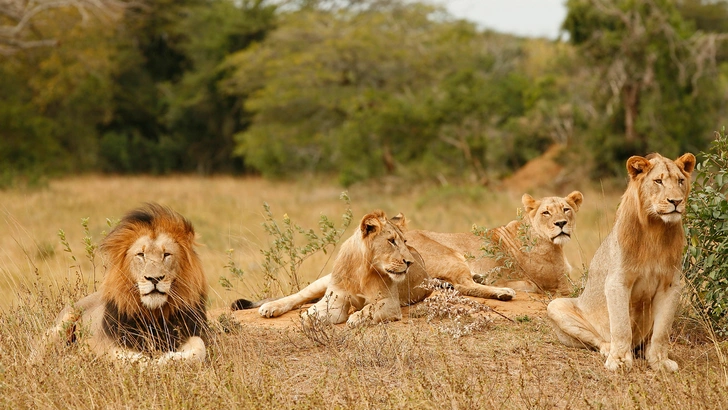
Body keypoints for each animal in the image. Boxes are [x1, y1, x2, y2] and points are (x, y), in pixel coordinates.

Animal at [35, 203, 209, 364]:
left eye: (166, 254)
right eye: (141, 254)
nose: (154, 279)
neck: (154, 314)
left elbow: (199, 348)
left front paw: (167, 359)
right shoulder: (110, 343)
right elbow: (129, 359)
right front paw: (154, 362)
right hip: (61, 326)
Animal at [232, 210, 432, 326]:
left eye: (405, 241)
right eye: (391, 241)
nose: (409, 262)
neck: (361, 270)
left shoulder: (390, 303)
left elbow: (370, 308)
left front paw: (357, 317)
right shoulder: (336, 300)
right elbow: (315, 311)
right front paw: (309, 317)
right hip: (323, 281)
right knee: (298, 297)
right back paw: (271, 307)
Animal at [400, 191, 584, 296]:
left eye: (566, 209)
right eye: (546, 213)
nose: (561, 223)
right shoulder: (561, 285)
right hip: (449, 255)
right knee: (463, 285)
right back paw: (503, 292)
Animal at [548, 153, 696, 372]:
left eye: (680, 181)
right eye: (658, 181)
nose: (676, 201)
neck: (656, 230)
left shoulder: (671, 285)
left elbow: (662, 331)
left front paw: (659, 361)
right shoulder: (617, 281)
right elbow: (621, 326)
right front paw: (618, 361)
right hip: (555, 306)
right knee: (599, 339)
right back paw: (608, 349)